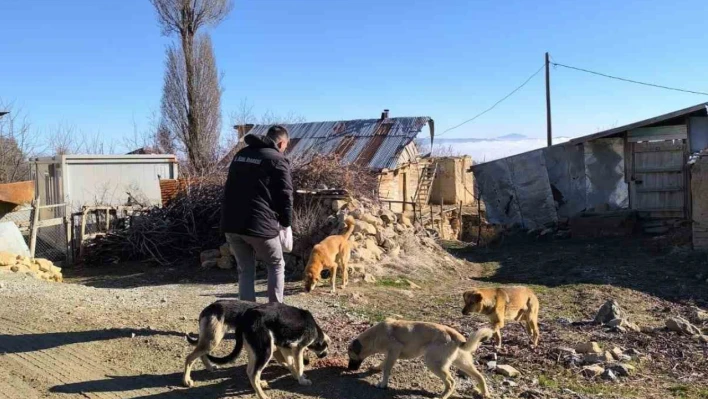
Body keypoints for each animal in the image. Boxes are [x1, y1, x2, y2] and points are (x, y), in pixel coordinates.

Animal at [348, 318, 492, 399]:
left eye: (351, 357)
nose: (349, 369)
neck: (374, 336)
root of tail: (456, 336)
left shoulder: (394, 349)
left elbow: (387, 369)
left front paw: (383, 384)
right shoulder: (391, 354)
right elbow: (383, 364)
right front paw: (376, 368)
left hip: (433, 363)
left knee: (451, 382)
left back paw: (442, 397)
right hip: (462, 363)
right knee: (479, 376)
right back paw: (484, 393)